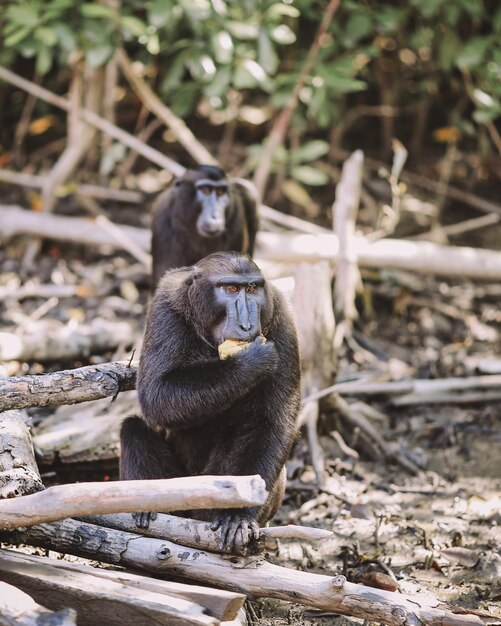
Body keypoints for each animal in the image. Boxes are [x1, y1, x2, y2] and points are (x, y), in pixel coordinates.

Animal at [120, 249, 300, 552]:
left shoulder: (283, 319)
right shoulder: (164, 308)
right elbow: (156, 394)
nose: (246, 324)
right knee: (133, 429)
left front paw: (237, 515)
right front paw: (249, 362)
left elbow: (271, 423)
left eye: (252, 289)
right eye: (231, 289)